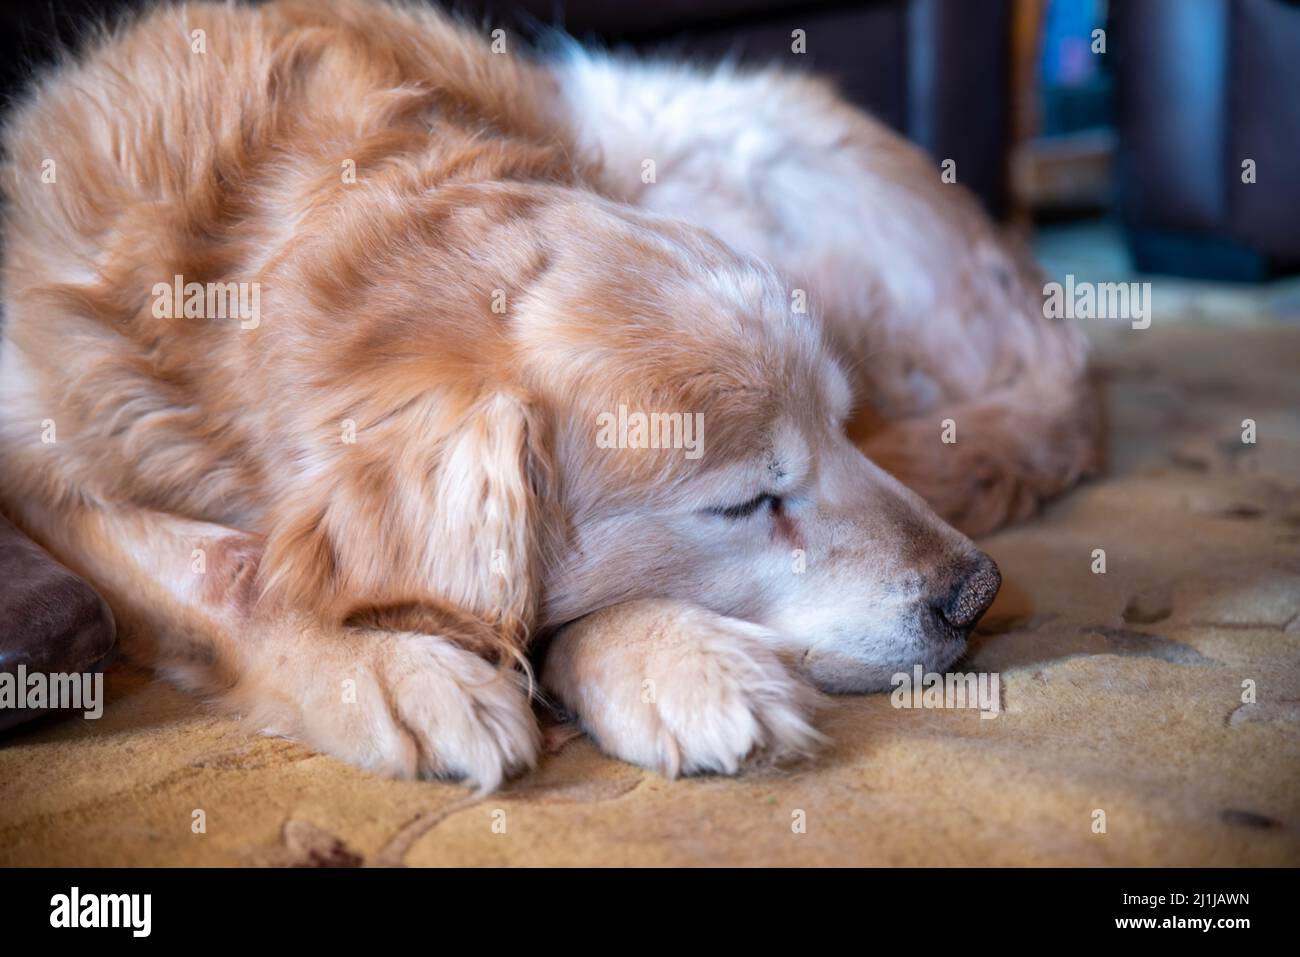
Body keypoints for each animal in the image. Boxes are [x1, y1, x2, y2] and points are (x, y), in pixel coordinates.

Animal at [0, 0, 1102, 785]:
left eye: (840, 428)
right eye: (746, 503)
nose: (976, 591)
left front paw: (666, 656)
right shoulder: (36, 463)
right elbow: (229, 566)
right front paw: (391, 669)